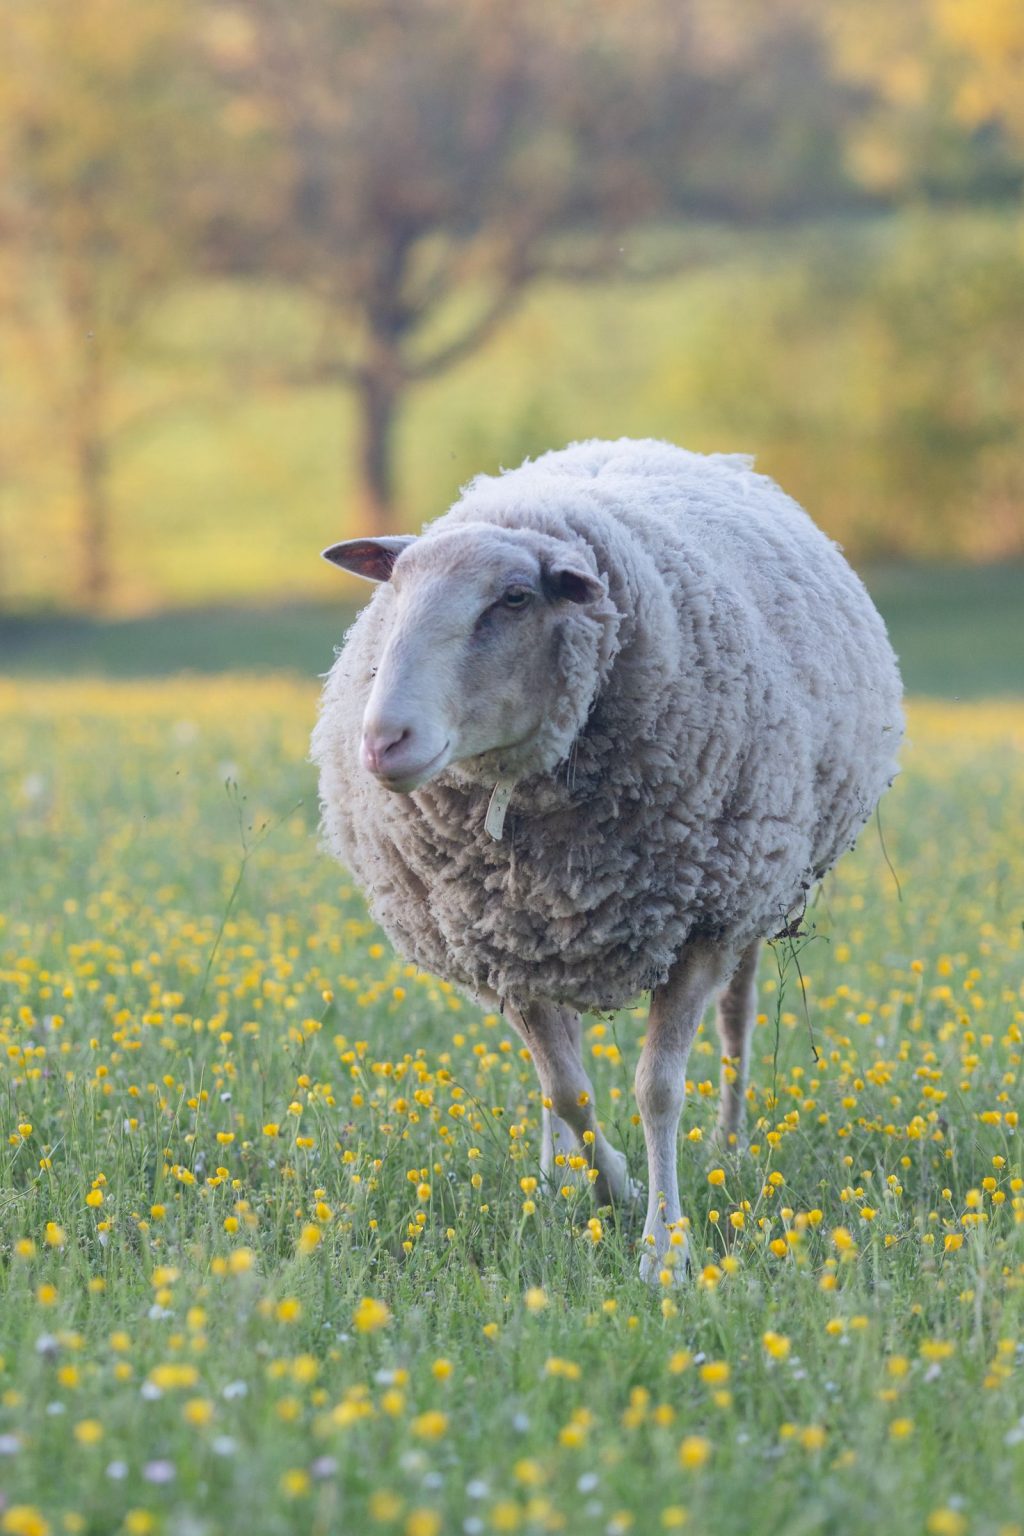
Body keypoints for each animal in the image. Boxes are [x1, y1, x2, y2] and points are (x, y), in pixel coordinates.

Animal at [311, 437, 904, 1281]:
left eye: (514, 598)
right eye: (394, 590)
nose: (383, 741)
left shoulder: (703, 925)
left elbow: (657, 1090)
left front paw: (664, 1250)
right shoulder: (501, 939)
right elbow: (567, 1090)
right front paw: (611, 1188)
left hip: (757, 892)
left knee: (737, 1020)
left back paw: (730, 1143)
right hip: (550, 935)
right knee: (562, 1060)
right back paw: (557, 1173)